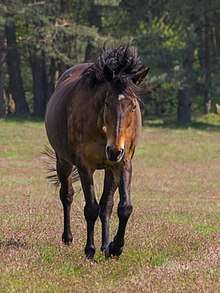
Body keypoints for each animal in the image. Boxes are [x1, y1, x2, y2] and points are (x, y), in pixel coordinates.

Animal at [45, 45, 150, 258]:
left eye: (133, 106)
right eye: (107, 102)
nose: (114, 150)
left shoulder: (124, 163)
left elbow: (123, 207)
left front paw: (115, 247)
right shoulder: (85, 166)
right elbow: (91, 208)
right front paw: (89, 250)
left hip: (111, 168)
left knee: (106, 205)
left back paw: (105, 245)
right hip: (63, 162)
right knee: (67, 195)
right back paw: (68, 238)